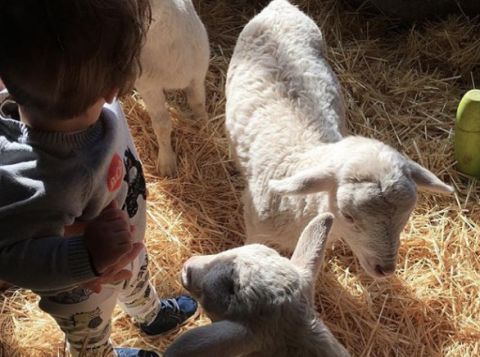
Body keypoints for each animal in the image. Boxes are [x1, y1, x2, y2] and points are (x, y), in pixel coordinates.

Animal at [136, 0, 209, 175]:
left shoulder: (197, 77)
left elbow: (199, 106)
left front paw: (207, 131)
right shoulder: (149, 87)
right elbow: (162, 125)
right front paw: (167, 163)